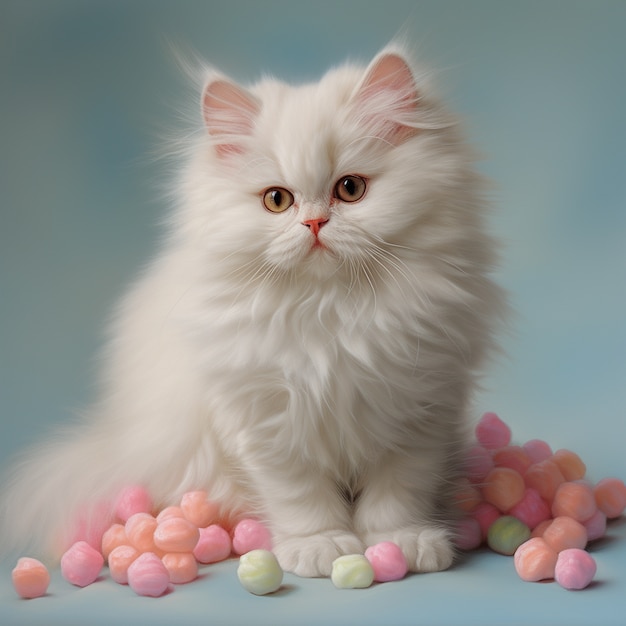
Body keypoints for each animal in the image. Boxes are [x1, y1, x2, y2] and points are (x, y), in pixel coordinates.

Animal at [0, 44, 504, 576]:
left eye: (350, 189)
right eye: (277, 200)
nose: (314, 223)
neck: (331, 311)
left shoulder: (420, 411)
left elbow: (398, 493)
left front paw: (400, 541)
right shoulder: (266, 421)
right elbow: (301, 497)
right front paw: (320, 545)